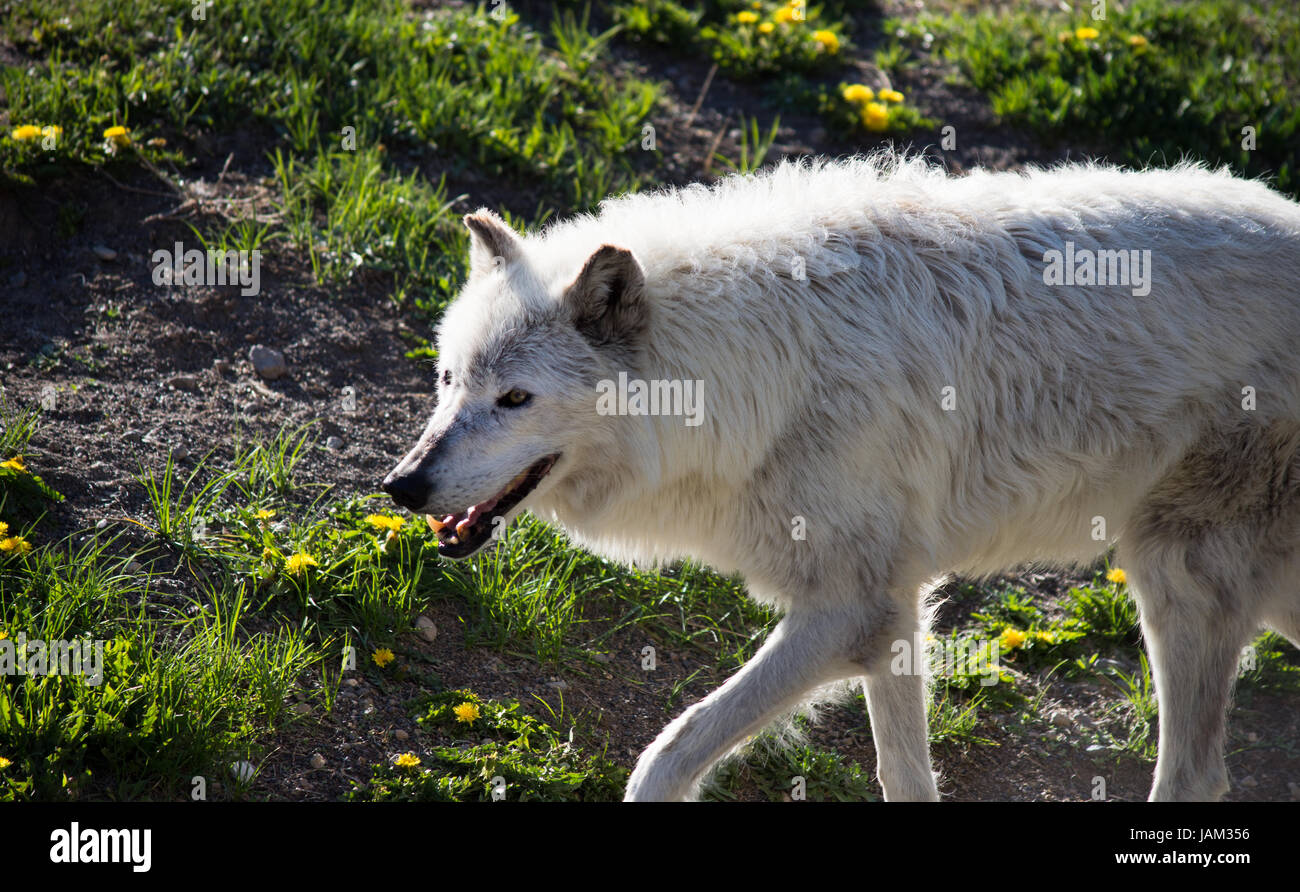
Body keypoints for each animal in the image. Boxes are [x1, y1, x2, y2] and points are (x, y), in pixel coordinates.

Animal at [382, 153, 1300, 806]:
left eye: (515, 399)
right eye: (447, 380)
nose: (402, 487)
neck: (759, 374)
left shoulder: (853, 608)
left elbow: (667, 754)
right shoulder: (891, 619)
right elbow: (906, 778)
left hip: (1179, 576)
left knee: (1193, 778)